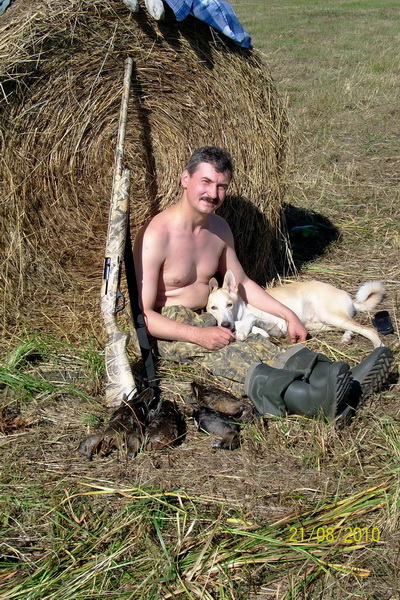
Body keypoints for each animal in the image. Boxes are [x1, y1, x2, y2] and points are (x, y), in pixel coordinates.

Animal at [206, 270, 385, 348]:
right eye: (213, 308)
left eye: (229, 304)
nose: (225, 325)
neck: (241, 310)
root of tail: (348, 297)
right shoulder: (277, 329)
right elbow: (257, 327)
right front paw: (252, 331)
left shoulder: (280, 325)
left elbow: (250, 319)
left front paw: (243, 329)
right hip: (321, 324)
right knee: (350, 327)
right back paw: (347, 337)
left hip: (330, 316)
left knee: (369, 330)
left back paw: (379, 348)